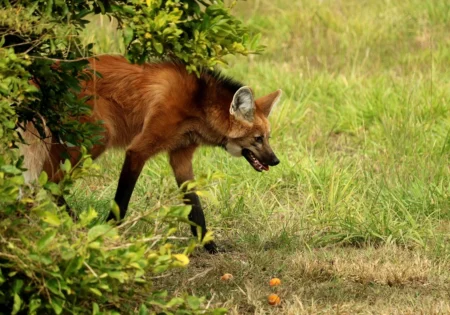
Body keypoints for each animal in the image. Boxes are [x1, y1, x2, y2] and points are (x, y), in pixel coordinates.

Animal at [21, 55, 284, 254]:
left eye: (268, 137)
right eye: (258, 139)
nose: (275, 161)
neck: (197, 104)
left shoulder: (180, 158)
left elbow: (196, 209)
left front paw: (210, 247)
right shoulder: (138, 150)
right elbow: (121, 202)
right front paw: (107, 235)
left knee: (40, 183)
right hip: (98, 136)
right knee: (52, 183)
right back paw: (75, 226)